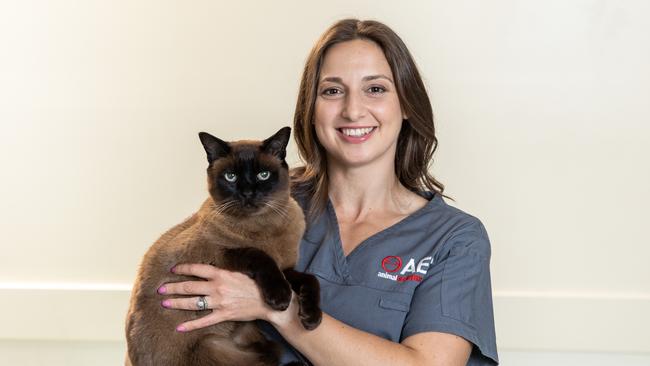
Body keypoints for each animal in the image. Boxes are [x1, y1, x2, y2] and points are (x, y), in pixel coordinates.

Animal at [124, 126, 322, 366]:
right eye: (231, 177)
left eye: (263, 175)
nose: (247, 194)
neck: (264, 227)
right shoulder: (218, 256)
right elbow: (258, 255)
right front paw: (281, 299)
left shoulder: (286, 269)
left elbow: (310, 279)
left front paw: (312, 319)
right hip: (212, 345)